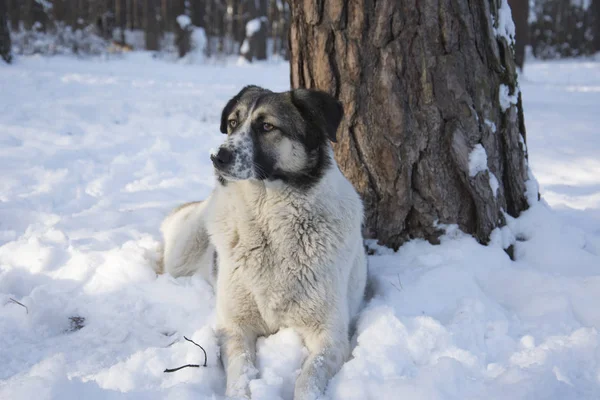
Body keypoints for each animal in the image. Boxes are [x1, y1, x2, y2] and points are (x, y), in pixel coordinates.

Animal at [157, 86, 368, 398]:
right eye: (233, 123)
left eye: (267, 126)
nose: (216, 157)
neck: (269, 224)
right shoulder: (234, 327)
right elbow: (241, 371)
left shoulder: (330, 336)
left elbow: (308, 378)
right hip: (181, 254)